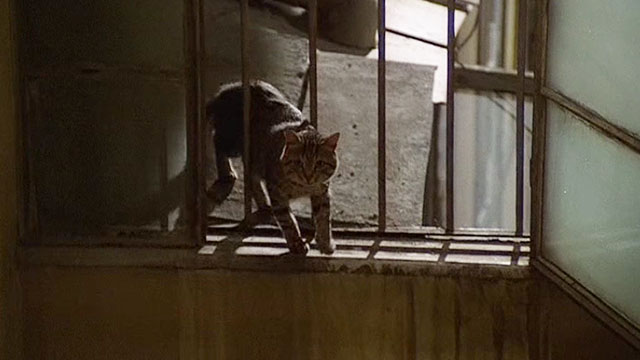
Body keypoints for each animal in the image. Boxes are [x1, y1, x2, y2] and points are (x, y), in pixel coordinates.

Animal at [209, 81, 340, 256]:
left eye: (319, 163)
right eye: (299, 162)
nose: (308, 176)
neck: (302, 187)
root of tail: (228, 89)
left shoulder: (322, 191)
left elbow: (323, 217)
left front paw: (326, 243)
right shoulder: (277, 192)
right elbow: (287, 220)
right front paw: (296, 243)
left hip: (253, 154)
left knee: (252, 174)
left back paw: (263, 204)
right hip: (233, 140)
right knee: (217, 141)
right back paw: (227, 173)